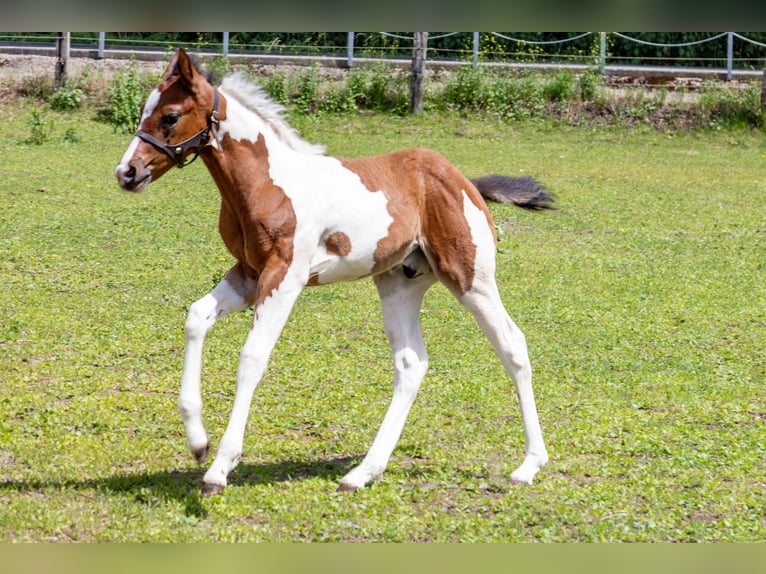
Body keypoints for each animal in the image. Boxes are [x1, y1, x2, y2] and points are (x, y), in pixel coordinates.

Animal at [114, 48, 552, 496]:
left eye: (169, 116)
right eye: (145, 109)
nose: (127, 172)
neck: (266, 185)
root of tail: (467, 183)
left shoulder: (285, 277)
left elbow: (252, 356)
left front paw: (220, 467)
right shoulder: (249, 273)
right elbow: (196, 317)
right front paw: (198, 442)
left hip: (470, 278)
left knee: (513, 346)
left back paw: (529, 465)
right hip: (400, 283)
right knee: (411, 363)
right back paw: (363, 472)